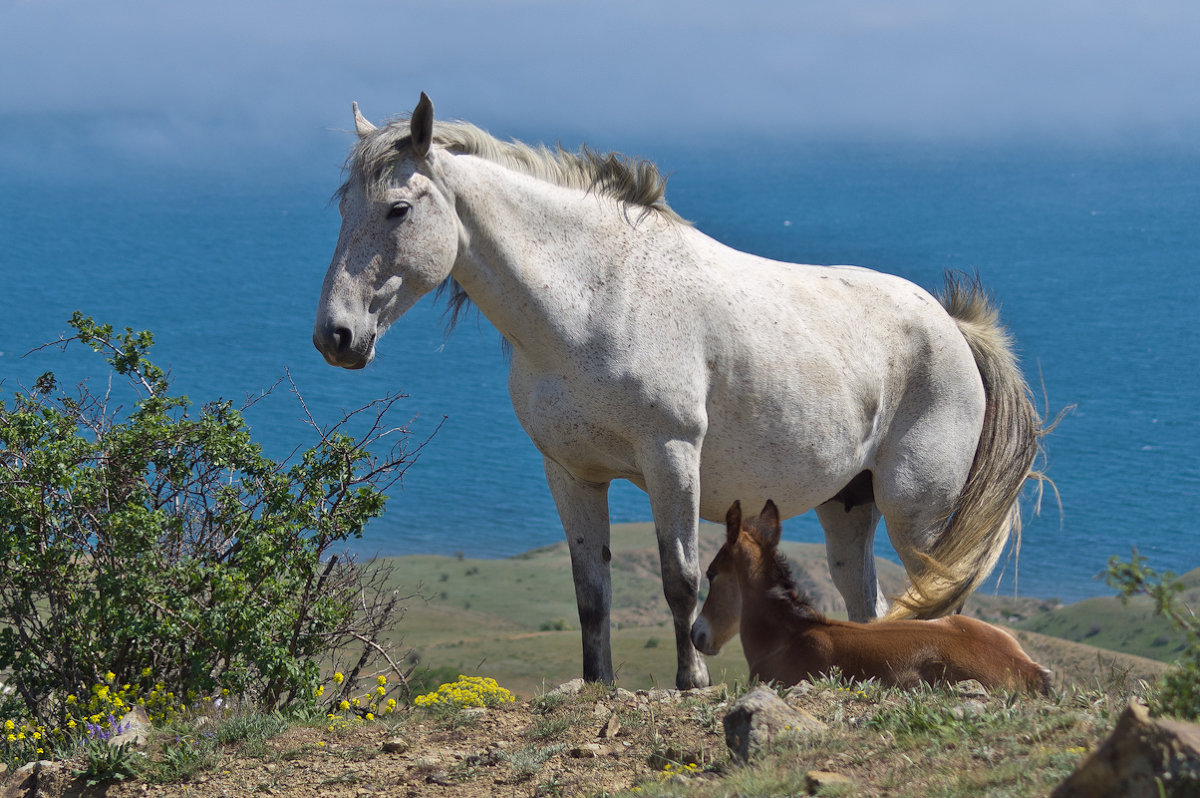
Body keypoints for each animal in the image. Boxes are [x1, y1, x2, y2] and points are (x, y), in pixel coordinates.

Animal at [314, 94, 1046, 691]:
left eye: (398, 209)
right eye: (342, 207)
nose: (336, 336)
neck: (594, 300)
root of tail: (951, 326)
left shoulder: (671, 457)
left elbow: (681, 579)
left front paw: (691, 680)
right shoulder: (570, 473)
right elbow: (591, 590)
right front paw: (600, 684)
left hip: (919, 509)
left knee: (938, 591)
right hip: (849, 503)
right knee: (864, 597)